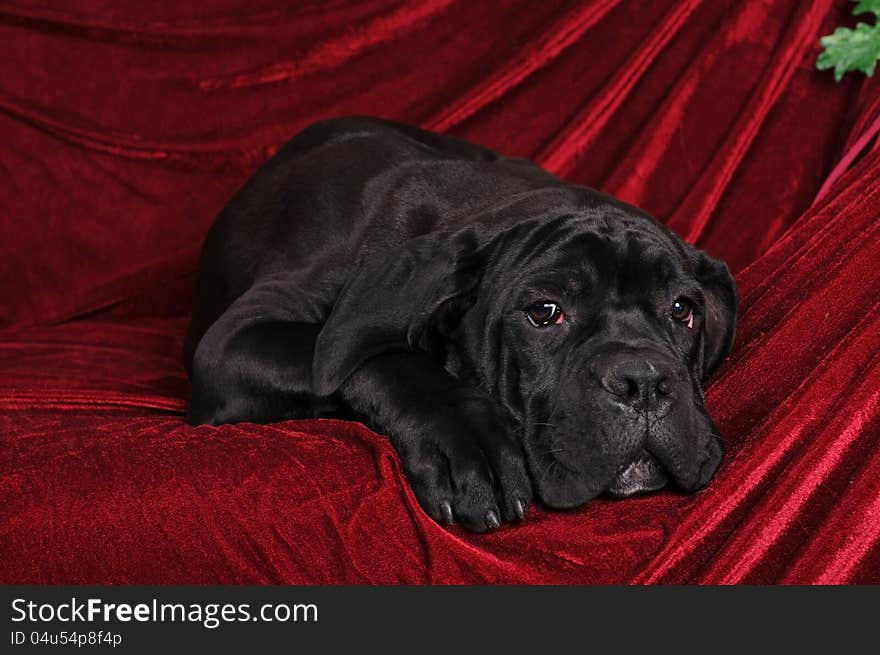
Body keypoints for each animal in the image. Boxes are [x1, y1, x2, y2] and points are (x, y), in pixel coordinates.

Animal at [186, 116, 736, 532]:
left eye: (682, 310)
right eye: (544, 312)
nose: (644, 381)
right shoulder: (234, 340)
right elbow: (389, 359)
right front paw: (469, 444)